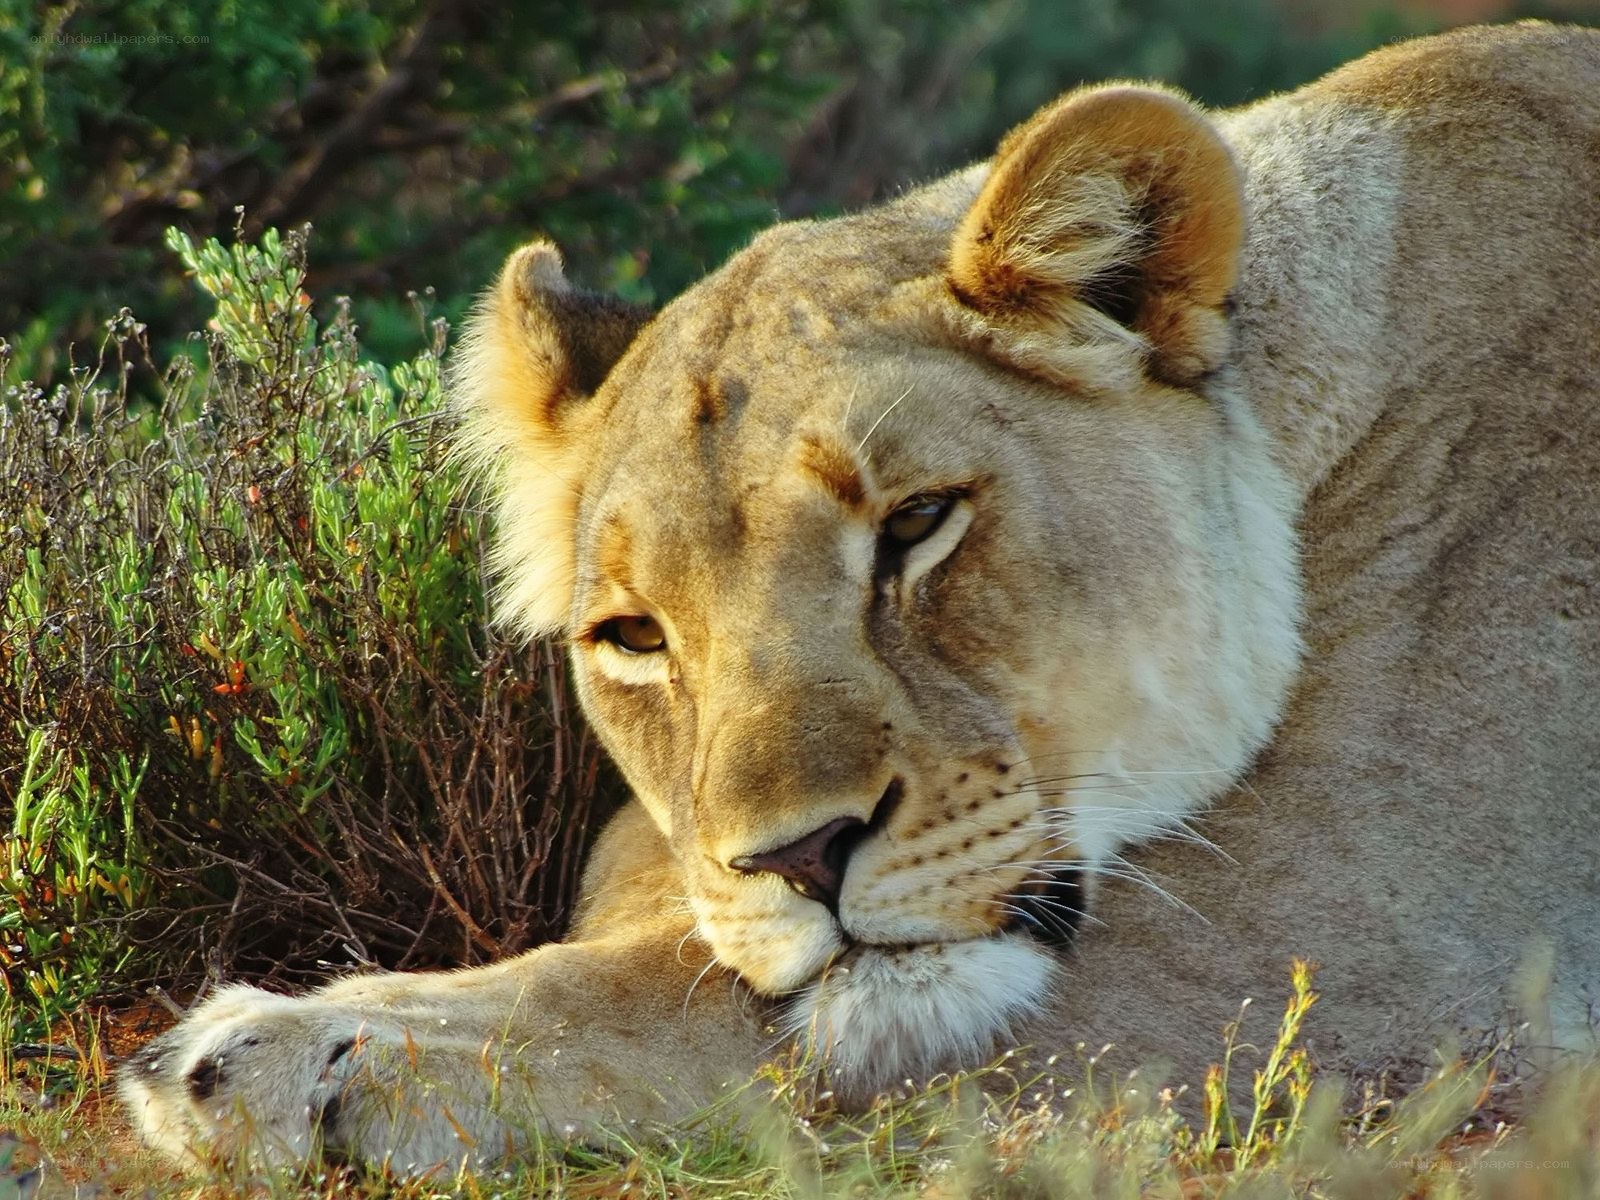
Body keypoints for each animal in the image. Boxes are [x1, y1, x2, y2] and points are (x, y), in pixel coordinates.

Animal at [121, 21, 1600, 1174]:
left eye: (917, 525)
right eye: (634, 638)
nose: (800, 860)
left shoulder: (1371, 960)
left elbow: (680, 1001)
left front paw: (283, 1047)